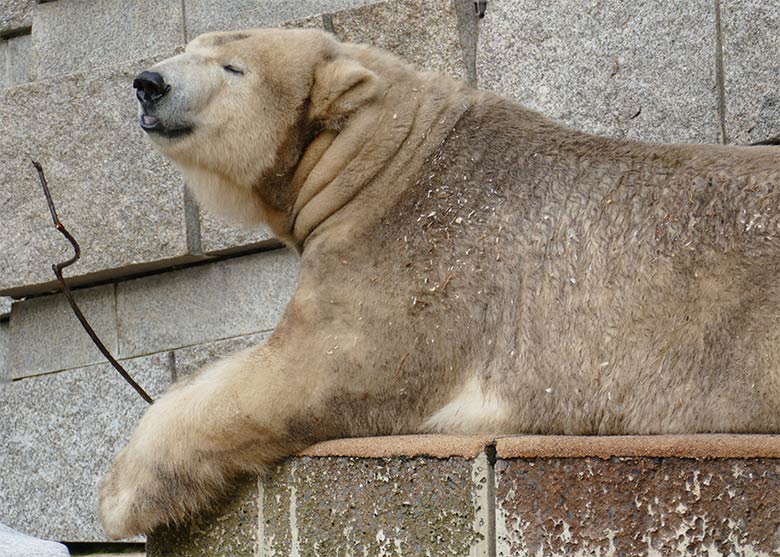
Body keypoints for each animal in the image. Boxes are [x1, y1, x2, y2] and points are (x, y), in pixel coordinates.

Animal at [100, 27, 780, 540]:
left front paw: (120, 494)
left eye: (233, 66)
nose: (148, 82)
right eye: (188, 45)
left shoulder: (413, 260)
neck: (387, 158)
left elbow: (315, 367)